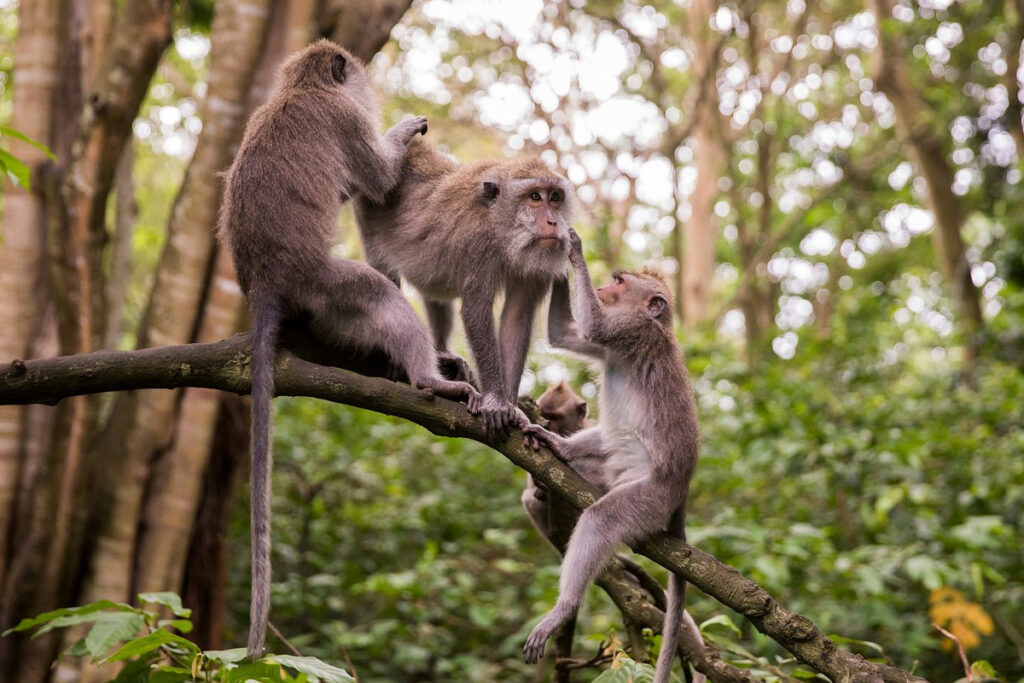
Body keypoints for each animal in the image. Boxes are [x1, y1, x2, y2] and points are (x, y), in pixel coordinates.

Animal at [217, 40, 479, 659]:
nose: (371, 89)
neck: (300, 89)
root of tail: (265, 285)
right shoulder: (345, 119)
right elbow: (380, 181)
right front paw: (404, 129)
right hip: (324, 285)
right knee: (378, 294)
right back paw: (429, 379)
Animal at [353, 138, 574, 438]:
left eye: (555, 197)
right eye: (535, 197)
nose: (553, 222)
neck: (500, 227)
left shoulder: (538, 258)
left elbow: (516, 319)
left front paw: (511, 406)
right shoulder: (476, 243)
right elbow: (476, 311)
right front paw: (495, 401)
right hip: (370, 212)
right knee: (385, 275)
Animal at [520, 229, 700, 683]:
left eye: (619, 282)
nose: (601, 288)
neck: (655, 324)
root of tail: (681, 494)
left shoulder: (629, 330)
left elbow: (594, 325)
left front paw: (573, 248)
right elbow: (564, 335)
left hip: (648, 498)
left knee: (602, 518)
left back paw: (564, 607)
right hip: (606, 476)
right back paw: (557, 458)